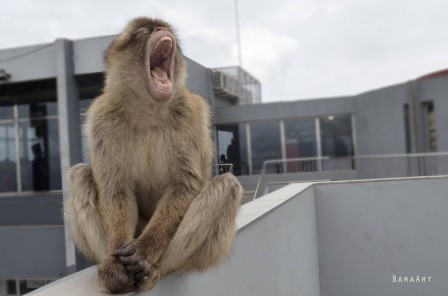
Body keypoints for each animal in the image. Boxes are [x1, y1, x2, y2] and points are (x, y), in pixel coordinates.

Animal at [64, 17, 242, 292]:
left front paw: (144, 250)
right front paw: (114, 265)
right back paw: (109, 269)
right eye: (142, 32)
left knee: (226, 185)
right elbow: (116, 190)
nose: (161, 30)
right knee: (80, 175)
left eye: (163, 28)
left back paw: (154, 269)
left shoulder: (193, 114)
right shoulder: (100, 120)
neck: (148, 108)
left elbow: (185, 185)